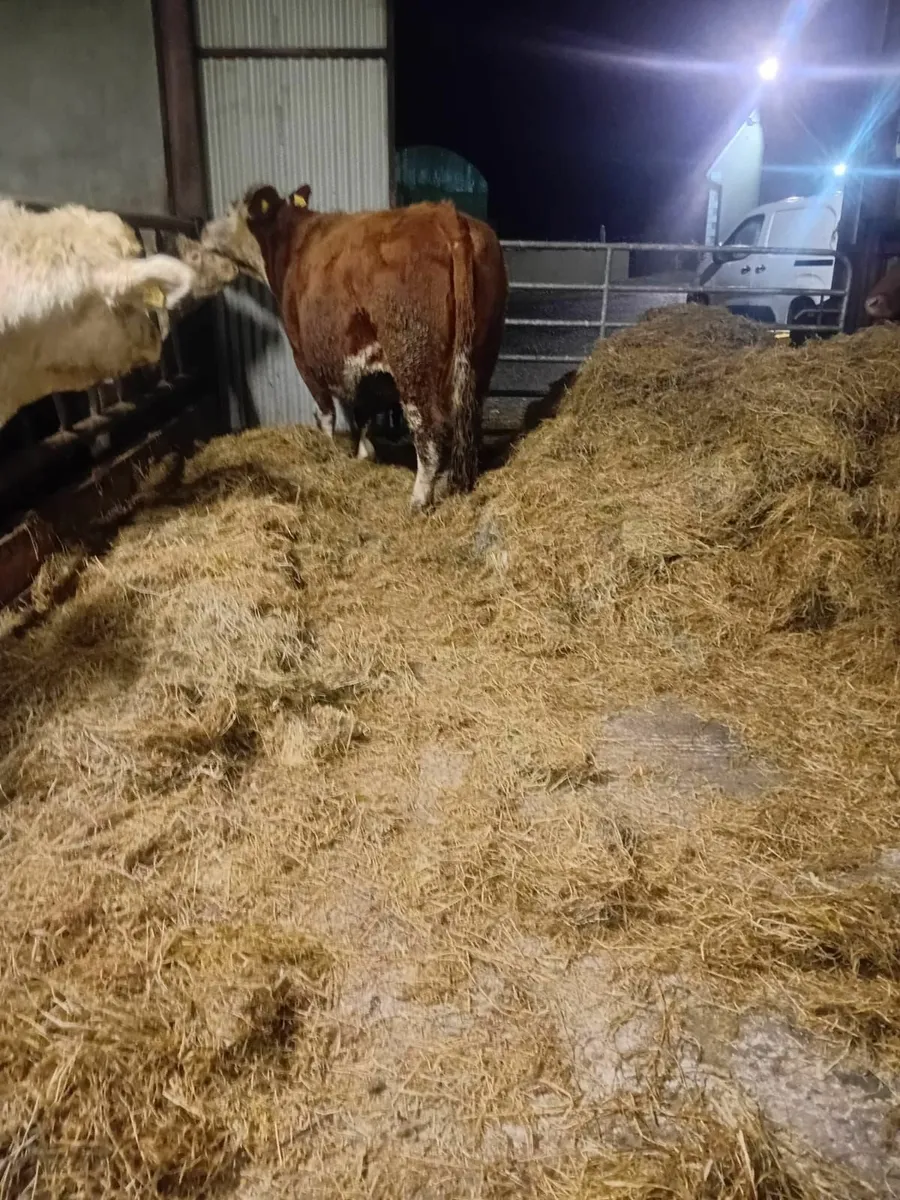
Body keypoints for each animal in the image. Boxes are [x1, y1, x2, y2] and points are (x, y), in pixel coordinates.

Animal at [195, 184, 508, 510]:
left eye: (229, 211)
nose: (203, 228)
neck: (293, 243)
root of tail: (445, 213)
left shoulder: (302, 355)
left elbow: (326, 413)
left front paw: (328, 452)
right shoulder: (366, 368)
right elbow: (363, 411)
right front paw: (363, 454)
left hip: (413, 360)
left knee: (429, 429)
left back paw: (419, 498)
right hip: (481, 358)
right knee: (468, 420)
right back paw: (458, 481)